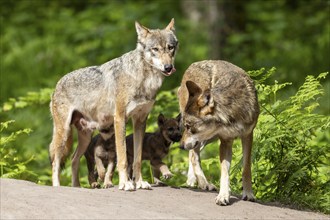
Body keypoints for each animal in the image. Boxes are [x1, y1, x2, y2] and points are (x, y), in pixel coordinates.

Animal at [48, 19, 178, 191]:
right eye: (155, 49)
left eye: (170, 47)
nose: (168, 67)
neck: (144, 79)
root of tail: (57, 84)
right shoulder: (120, 119)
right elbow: (122, 158)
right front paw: (125, 183)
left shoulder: (140, 121)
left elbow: (137, 159)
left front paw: (140, 182)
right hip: (63, 133)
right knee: (56, 162)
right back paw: (57, 187)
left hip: (85, 137)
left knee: (74, 159)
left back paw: (76, 187)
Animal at [178, 59, 260, 205]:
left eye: (189, 126)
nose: (180, 146)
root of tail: (193, 64)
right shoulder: (225, 141)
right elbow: (224, 172)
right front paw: (223, 196)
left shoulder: (247, 136)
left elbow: (246, 168)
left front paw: (248, 194)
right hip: (206, 139)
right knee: (193, 154)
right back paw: (204, 183)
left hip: (209, 138)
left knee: (192, 153)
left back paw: (192, 180)